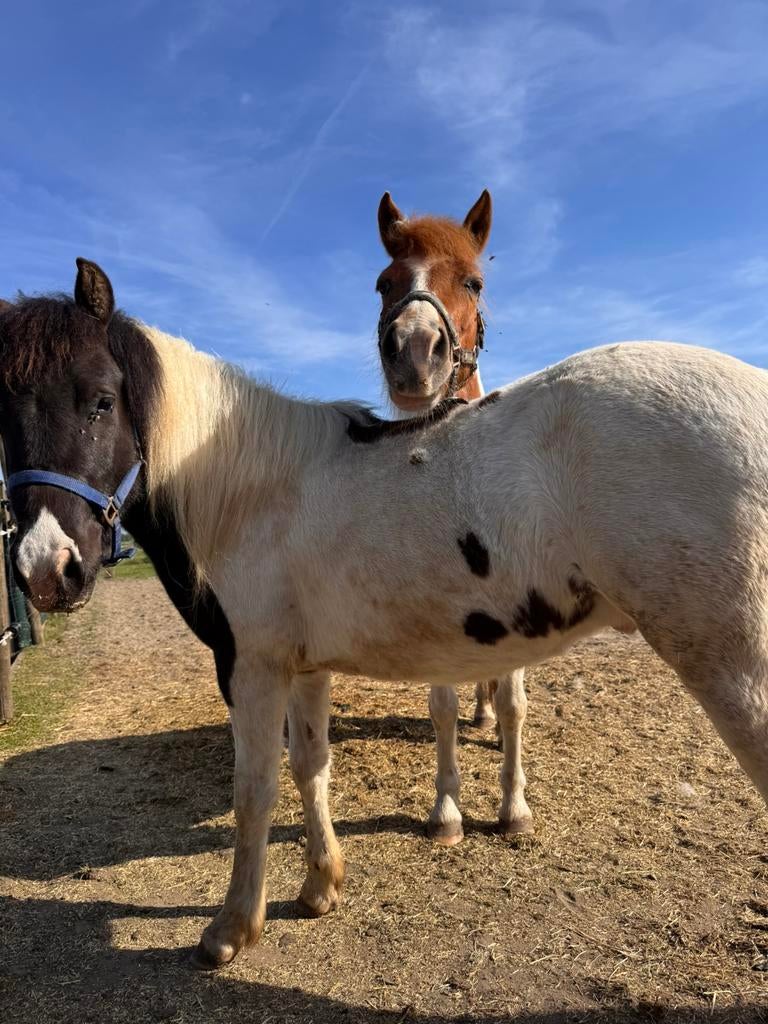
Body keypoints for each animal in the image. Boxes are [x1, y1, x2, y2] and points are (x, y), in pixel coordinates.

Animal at [4, 260, 768, 974]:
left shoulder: (251, 667)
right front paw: (320, 888)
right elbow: (311, 767)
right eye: (3, 418)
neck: (252, 489)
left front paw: (233, 929)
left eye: (102, 401)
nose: (46, 570)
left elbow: (255, 790)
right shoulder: (304, 668)